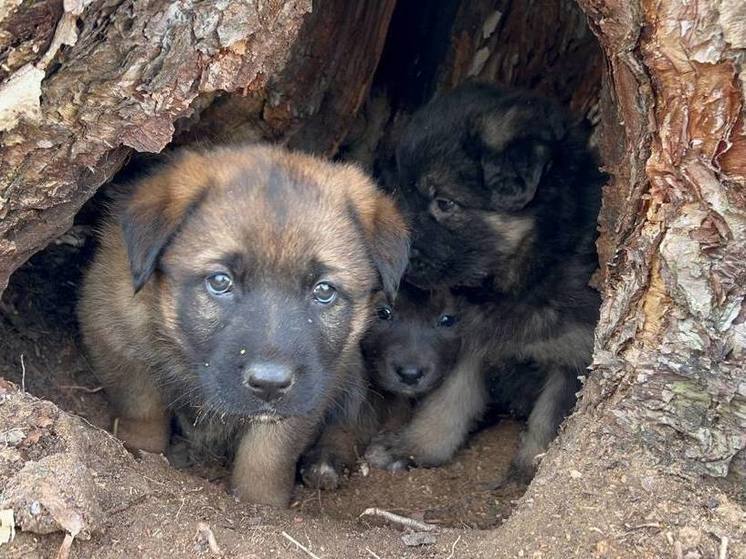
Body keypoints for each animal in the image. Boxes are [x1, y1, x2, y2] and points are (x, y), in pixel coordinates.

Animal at [77, 142, 406, 506]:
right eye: (220, 281)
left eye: (324, 291)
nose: (270, 384)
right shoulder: (113, 333)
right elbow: (142, 412)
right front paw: (137, 453)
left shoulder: (316, 383)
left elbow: (268, 455)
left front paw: (262, 503)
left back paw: (326, 462)